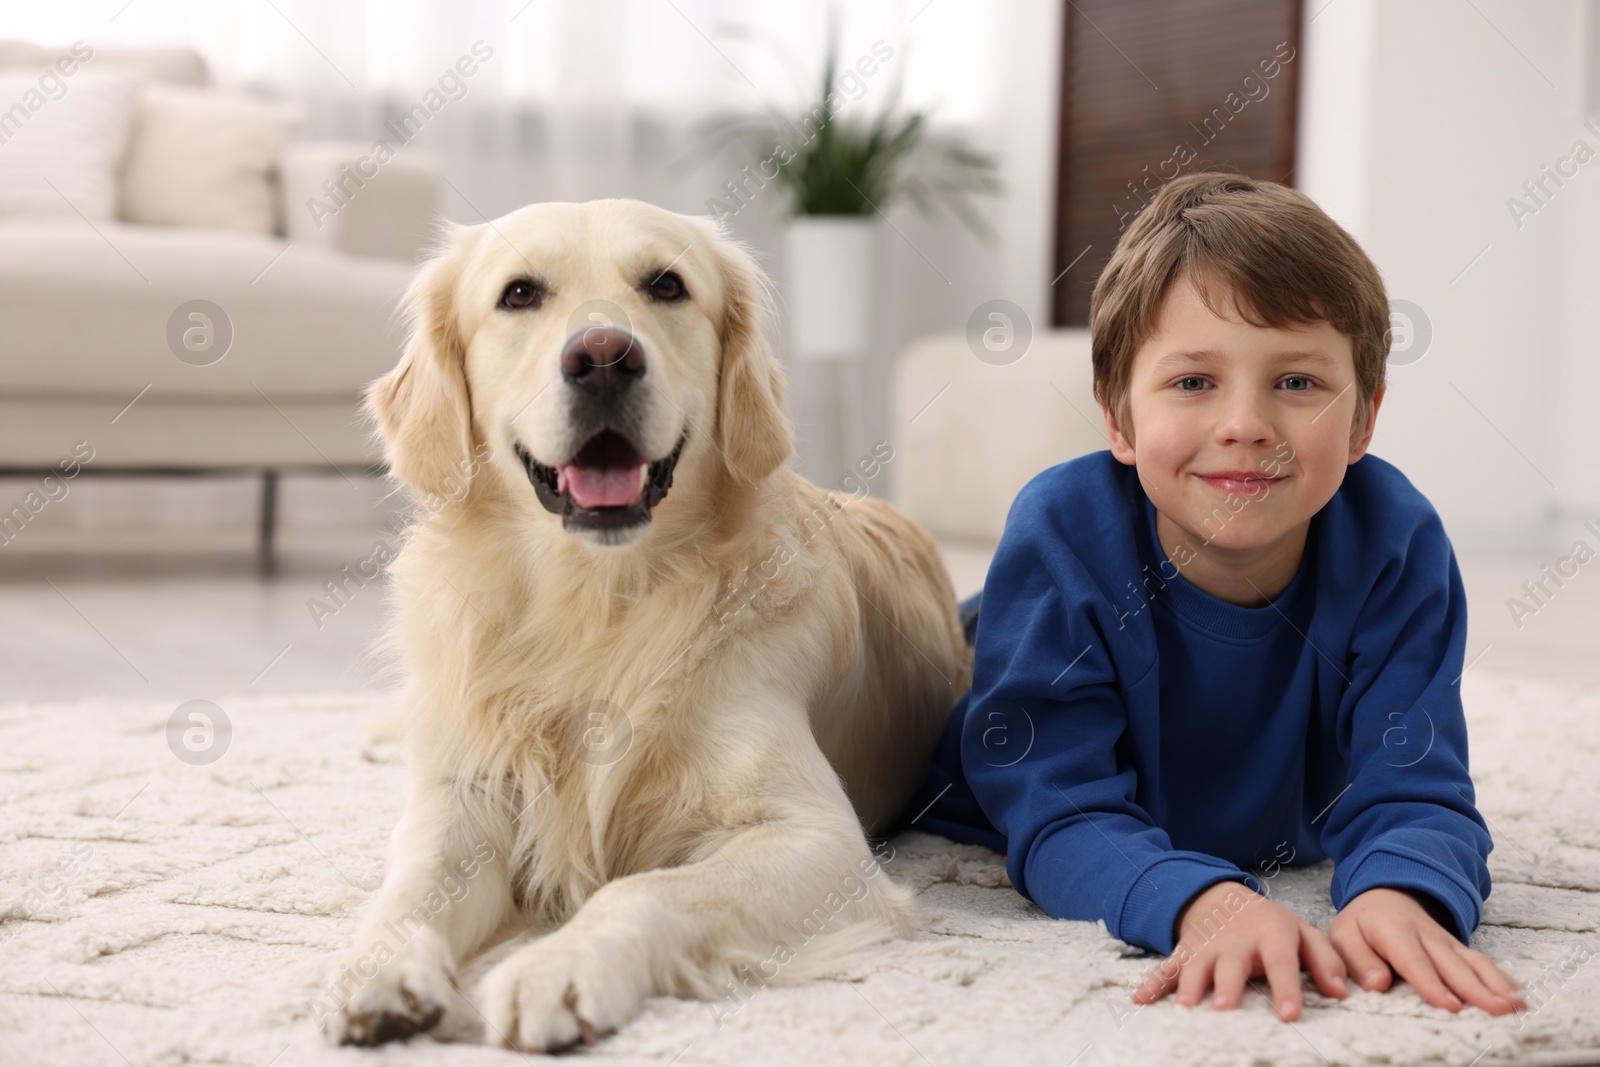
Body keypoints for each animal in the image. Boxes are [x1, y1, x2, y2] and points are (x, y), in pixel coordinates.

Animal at [321, 198, 972, 1049]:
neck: (594, 601)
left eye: (666, 285)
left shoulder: (816, 837)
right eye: (519, 293)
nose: (603, 356)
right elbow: (411, 885)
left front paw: (556, 966)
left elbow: (643, 889)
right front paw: (378, 968)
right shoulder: (462, 799)